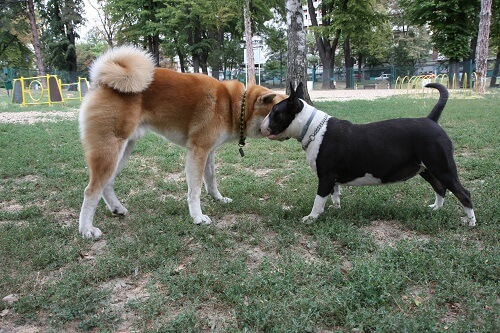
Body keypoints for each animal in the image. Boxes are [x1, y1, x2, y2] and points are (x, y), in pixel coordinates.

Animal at [77, 46, 286, 239]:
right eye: (279, 112)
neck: (233, 105)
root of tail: (101, 81)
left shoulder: (208, 152)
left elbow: (211, 181)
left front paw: (218, 199)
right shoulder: (197, 151)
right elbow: (195, 190)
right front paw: (198, 217)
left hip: (124, 149)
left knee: (107, 185)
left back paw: (117, 209)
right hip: (110, 151)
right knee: (91, 191)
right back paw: (86, 229)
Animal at [262, 82, 476, 226]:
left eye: (274, 112)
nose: (261, 126)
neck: (313, 128)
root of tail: (430, 119)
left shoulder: (326, 176)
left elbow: (318, 199)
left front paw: (311, 217)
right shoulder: (333, 178)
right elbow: (335, 193)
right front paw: (335, 208)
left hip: (442, 167)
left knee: (463, 193)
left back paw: (470, 222)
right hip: (426, 169)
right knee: (440, 188)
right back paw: (436, 209)